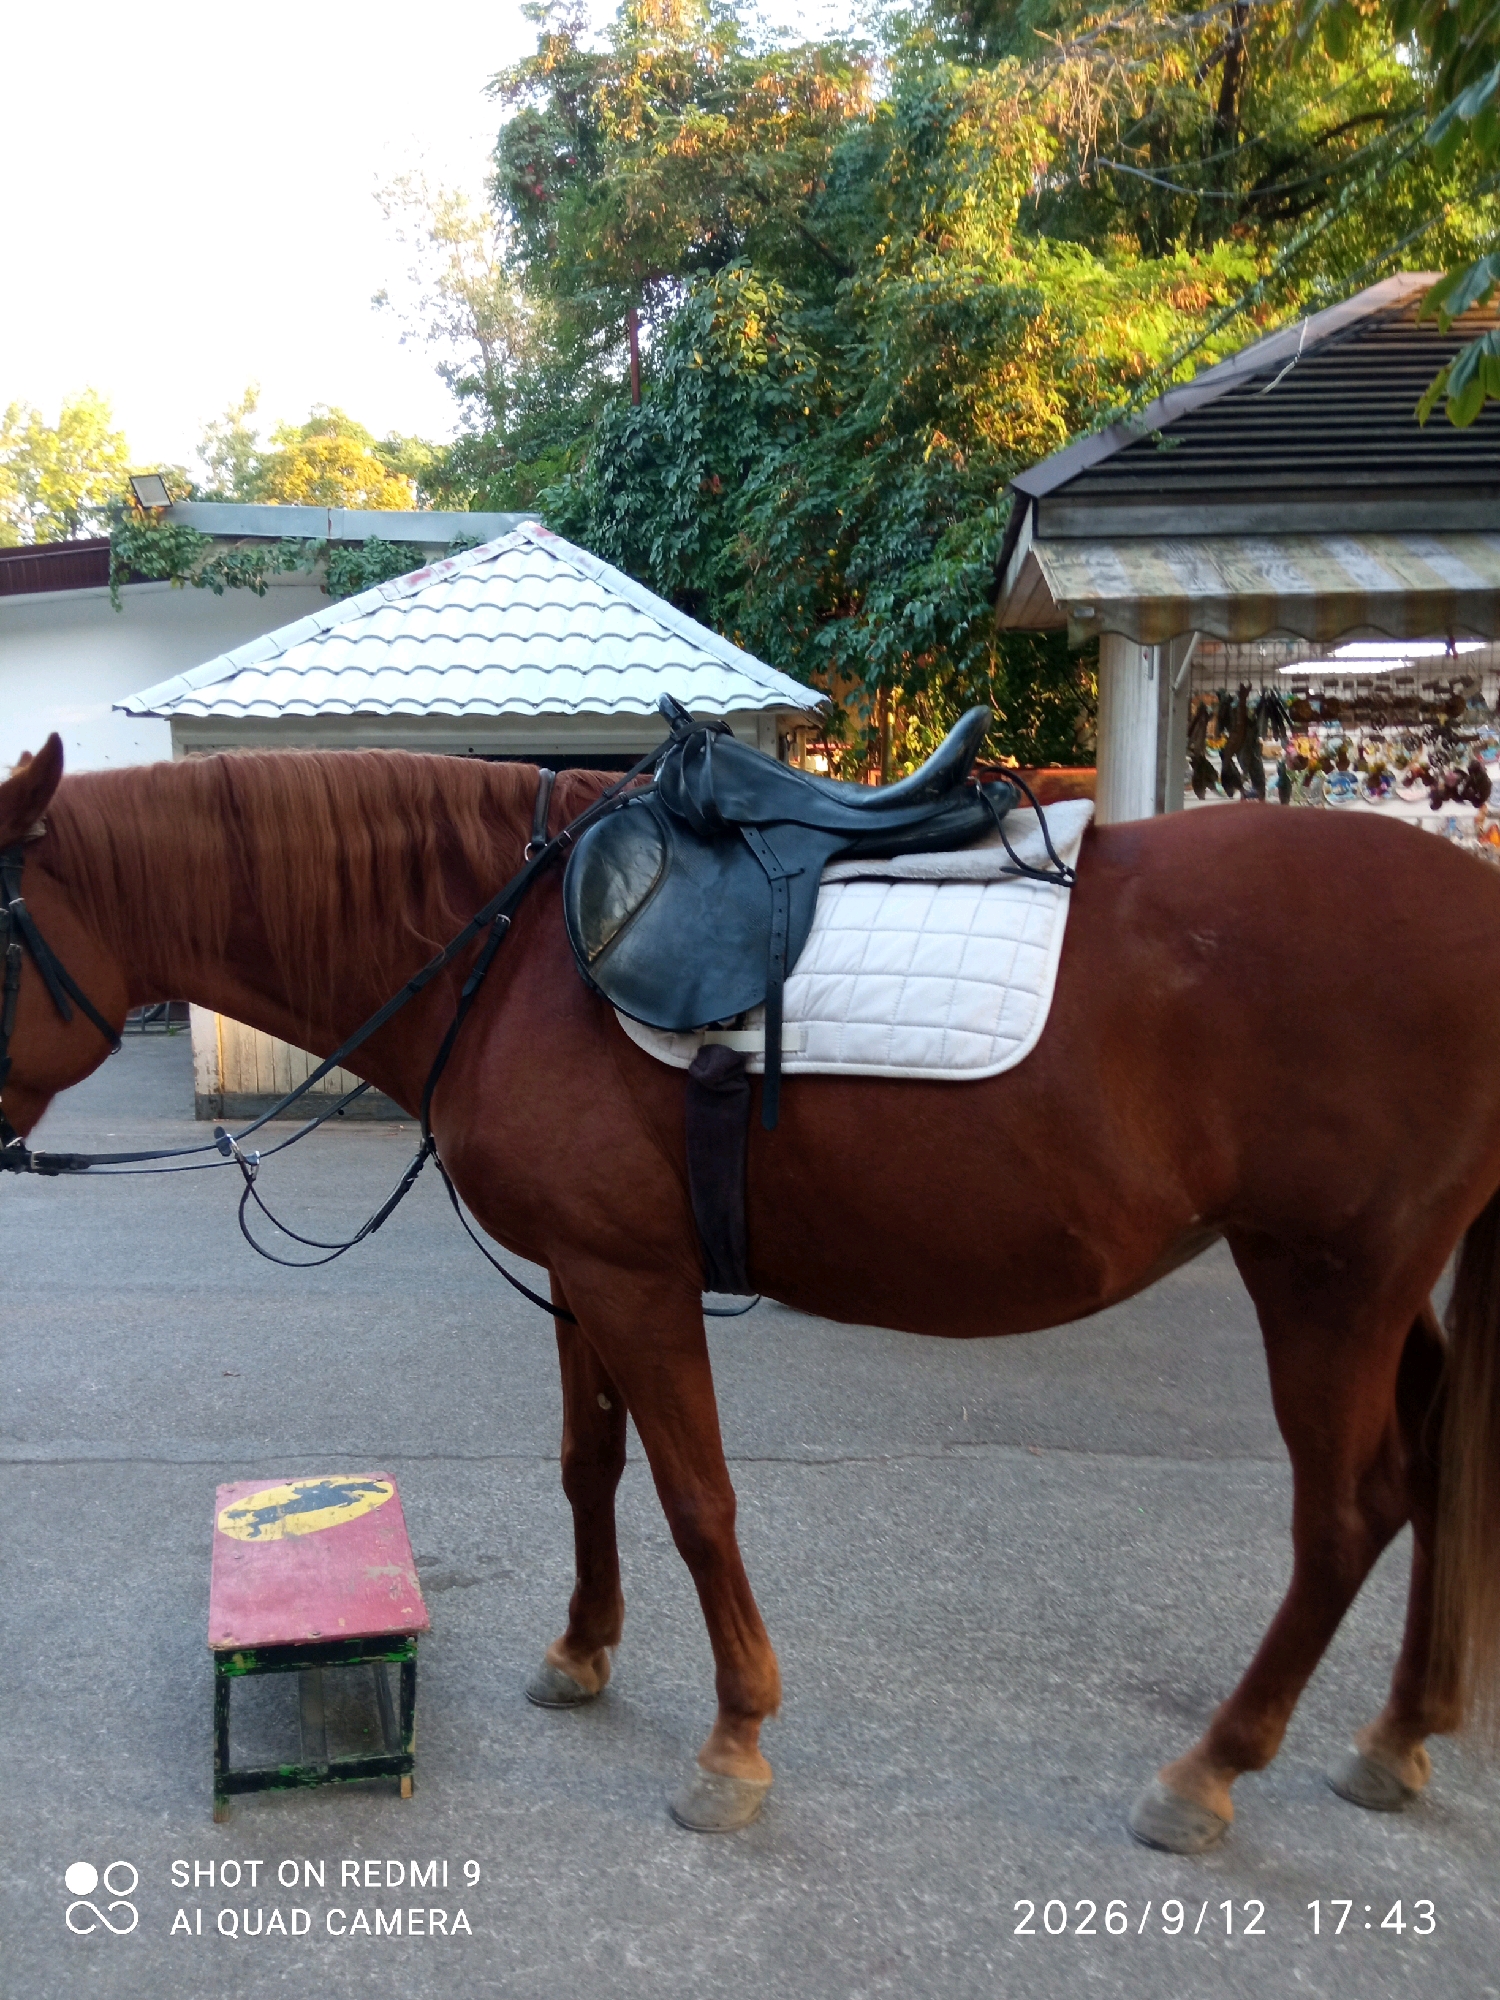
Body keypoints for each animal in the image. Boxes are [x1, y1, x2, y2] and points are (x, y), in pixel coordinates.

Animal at [4, 733, 1499, 1852]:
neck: (516, 951)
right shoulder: (585, 1272)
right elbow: (588, 1463)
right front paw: (582, 1651)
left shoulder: (636, 1282)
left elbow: (696, 1496)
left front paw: (732, 1743)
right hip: (1383, 1284)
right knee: (1433, 1469)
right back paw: (1399, 1735)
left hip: (1324, 1278)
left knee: (1347, 1514)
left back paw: (1209, 1770)